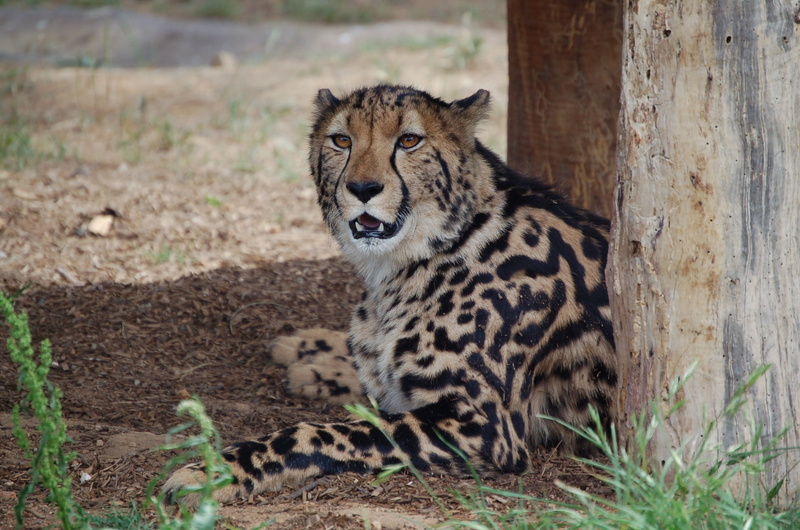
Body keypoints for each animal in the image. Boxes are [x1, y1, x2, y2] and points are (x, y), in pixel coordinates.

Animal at [163, 84, 616, 504]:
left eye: (409, 140)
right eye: (341, 140)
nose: (363, 187)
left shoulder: (485, 426)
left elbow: (328, 431)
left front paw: (217, 470)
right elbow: (371, 384)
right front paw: (318, 355)